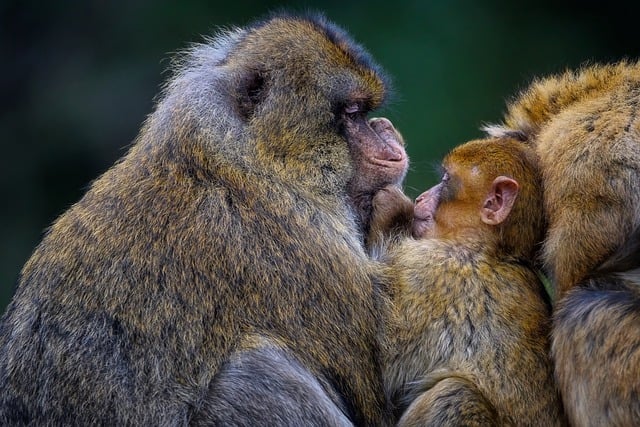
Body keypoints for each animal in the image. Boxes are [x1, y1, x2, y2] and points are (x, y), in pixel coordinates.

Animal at [372, 139, 568, 426]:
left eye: (444, 180)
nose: (420, 198)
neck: (488, 250)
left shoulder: (434, 270)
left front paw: (390, 207)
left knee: (455, 394)